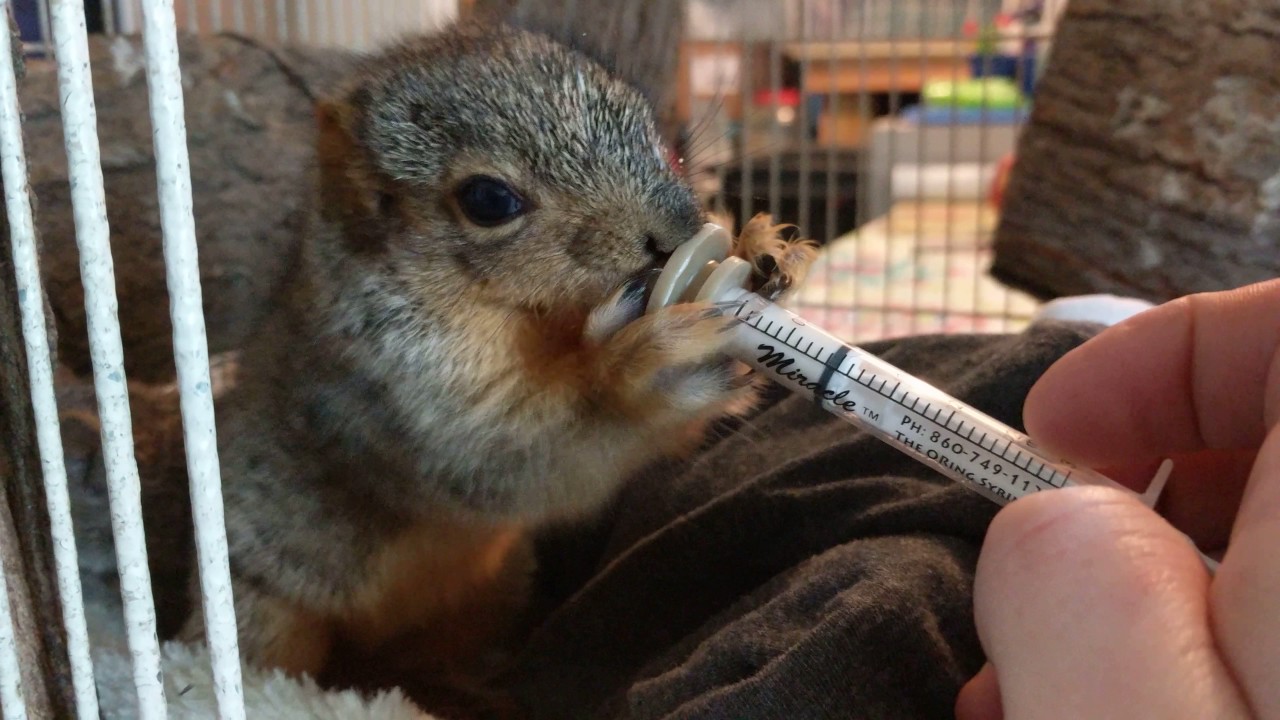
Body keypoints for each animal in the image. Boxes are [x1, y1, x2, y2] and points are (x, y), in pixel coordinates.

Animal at [170, 21, 817, 688]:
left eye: (664, 143)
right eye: (487, 200)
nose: (677, 233)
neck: (542, 320)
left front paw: (762, 248)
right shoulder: (390, 391)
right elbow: (517, 459)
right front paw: (647, 369)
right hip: (261, 610)